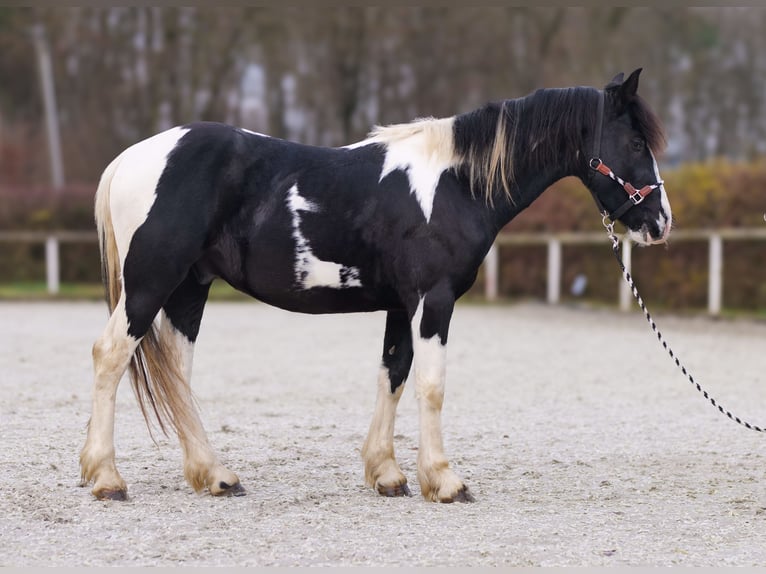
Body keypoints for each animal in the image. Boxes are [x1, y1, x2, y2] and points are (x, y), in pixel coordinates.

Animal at [81, 68, 672, 504]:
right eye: (635, 140)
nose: (660, 222)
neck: (454, 183)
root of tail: (131, 158)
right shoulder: (434, 301)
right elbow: (431, 384)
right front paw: (444, 480)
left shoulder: (400, 306)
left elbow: (394, 373)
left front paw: (387, 474)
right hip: (150, 284)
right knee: (110, 354)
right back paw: (106, 477)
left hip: (189, 289)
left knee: (178, 375)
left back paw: (214, 475)